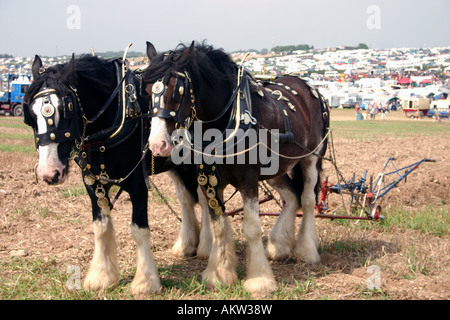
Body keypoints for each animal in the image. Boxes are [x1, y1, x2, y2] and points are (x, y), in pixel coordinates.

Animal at [21, 53, 211, 296]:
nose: (49, 173)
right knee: (186, 199)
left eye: (66, 110)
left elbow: (139, 230)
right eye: (30, 115)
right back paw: (186, 244)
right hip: (173, 163)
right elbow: (101, 228)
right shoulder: (93, 184)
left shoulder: (138, 183)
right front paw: (101, 276)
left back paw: (206, 246)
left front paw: (145, 282)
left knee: (203, 197)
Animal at [142, 41, 328, 296]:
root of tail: (310, 87)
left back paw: (307, 251)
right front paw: (218, 274)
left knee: (308, 200)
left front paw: (259, 279)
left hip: (311, 158)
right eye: (147, 90)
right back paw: (278, 246)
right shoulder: (209, 178)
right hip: (275, 169)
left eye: (178, 91)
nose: (157, 144)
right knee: (291, 196)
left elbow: (251, 227)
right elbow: (219, 226)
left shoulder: (248, 178)